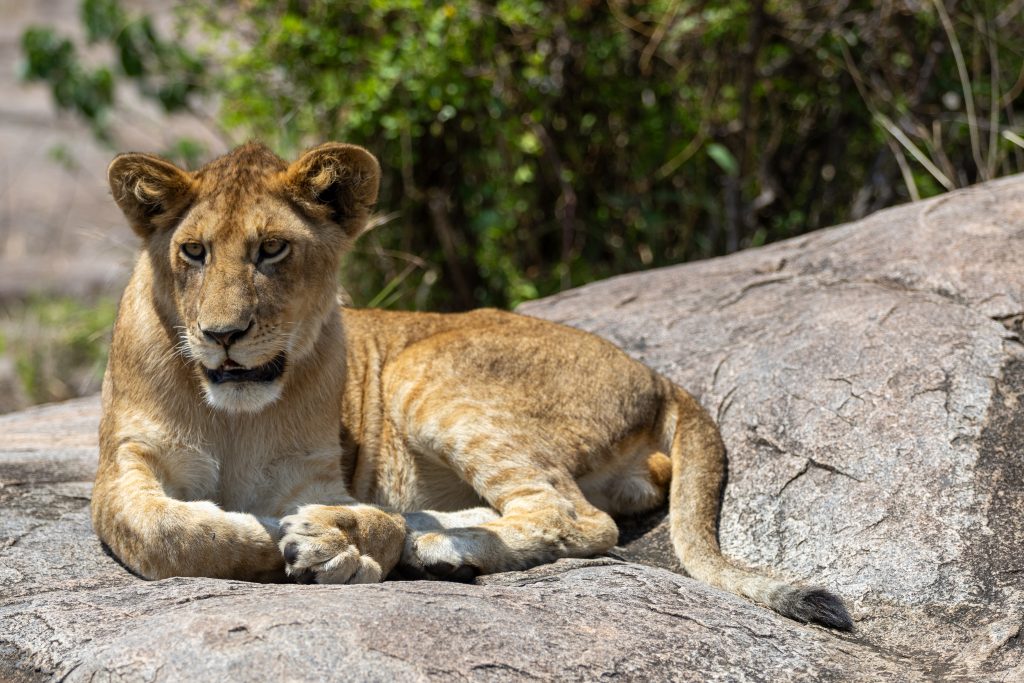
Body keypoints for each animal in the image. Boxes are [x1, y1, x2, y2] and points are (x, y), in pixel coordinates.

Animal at [92, 141, 851, 629]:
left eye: (272, 249)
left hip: (420, 371)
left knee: (578, 518)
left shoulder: (312, 477)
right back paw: (433, 536)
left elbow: (336, 519)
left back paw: (431, 547)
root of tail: (656, 373)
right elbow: (167, 531)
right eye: (193, 252)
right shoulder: (124, 464)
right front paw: (309, 538)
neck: (234, 415)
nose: (223, 334)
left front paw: (336, 543)